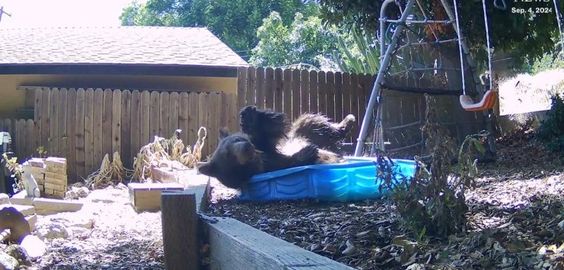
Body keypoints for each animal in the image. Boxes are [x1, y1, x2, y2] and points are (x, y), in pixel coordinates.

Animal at [198, 105, 354, 188]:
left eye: (237, 139)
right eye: (230, 158)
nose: (247, 147)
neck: (261, 159)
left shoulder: (265, 147)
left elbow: (264, 133)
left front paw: (251, 118)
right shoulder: (270, 165)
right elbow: (289, 162)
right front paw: (306, 153)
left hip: (304, 132)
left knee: (312, 122)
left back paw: (347, 121)